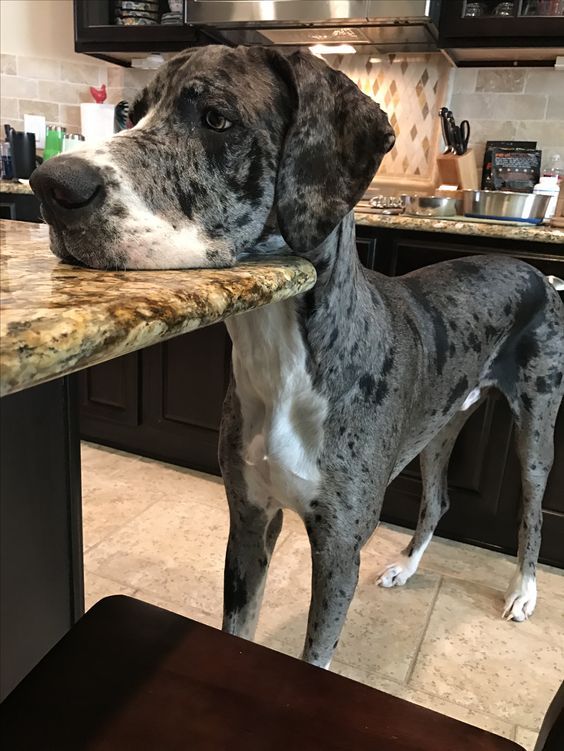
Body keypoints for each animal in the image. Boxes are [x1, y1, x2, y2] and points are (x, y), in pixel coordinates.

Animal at [30, 45, 564, 668]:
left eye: (216, 119)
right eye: (130, 115)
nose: (50, 185)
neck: (280, 356)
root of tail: (534, 270)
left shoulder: (337, 551)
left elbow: (319, 655)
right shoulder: (248, 521)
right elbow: (239, 626)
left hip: (536, 432)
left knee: (531, 513)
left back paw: (523, 593)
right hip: (442, 427)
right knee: (437, 500)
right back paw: (406, 567)